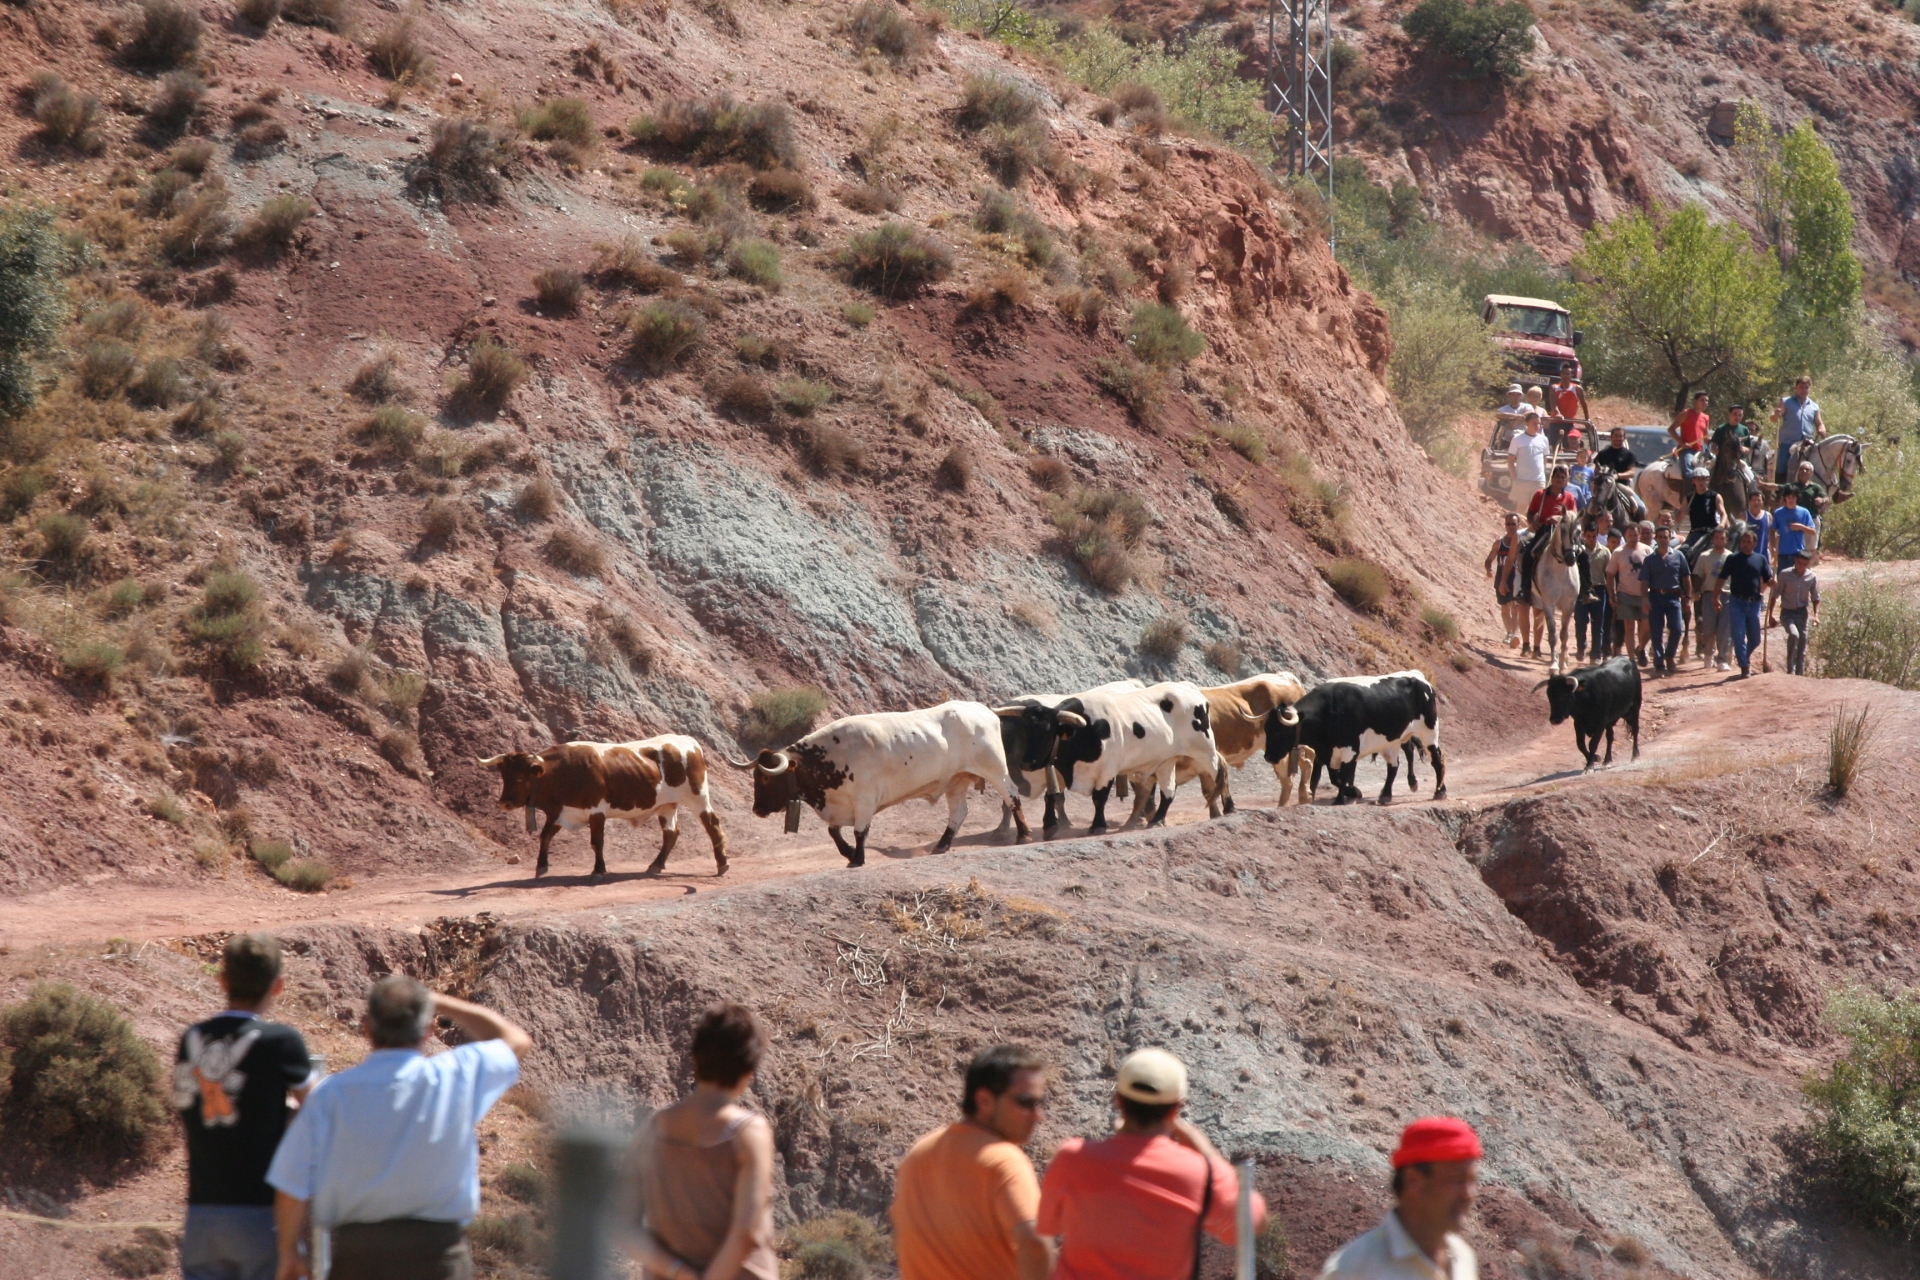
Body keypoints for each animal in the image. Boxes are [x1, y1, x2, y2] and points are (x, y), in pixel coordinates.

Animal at [474, 736, 725, 875]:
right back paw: (656, 865)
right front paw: (541, 866)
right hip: (666, 806)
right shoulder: (561, 812)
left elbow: (597, 843)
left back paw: (722, 864)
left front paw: (599, 870)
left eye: (520, 778)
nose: (504, 803)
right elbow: (545, 836)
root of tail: (687, 740)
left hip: (698, 797)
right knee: (671, 834)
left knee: (712, 825)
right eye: (504, 776)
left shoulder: (596, 812)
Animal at [729, 702, 1036, 871]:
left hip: (995, 769)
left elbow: (860, 832)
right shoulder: (840, 805)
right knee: (959, 813)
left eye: (766, 778)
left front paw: (857, 858)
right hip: (956, 781)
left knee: (1012, 797)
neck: (831, 756)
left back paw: (1023, 835)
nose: (757, 810)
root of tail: (982, 709)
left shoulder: (865, 800)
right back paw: (942, 844)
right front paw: (848, 852)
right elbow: (833, 832)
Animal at [1520, 510, 1582, 675]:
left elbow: (1564, 635)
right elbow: (1553, 635)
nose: (1571, 558)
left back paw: (1565, 659)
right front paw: (1554, 666)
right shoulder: (1549, 604)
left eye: (1579, 531)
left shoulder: (1569, 606)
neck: (1560, 571)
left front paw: (1562, 665)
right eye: (1563, 530)